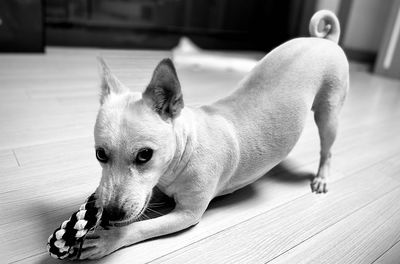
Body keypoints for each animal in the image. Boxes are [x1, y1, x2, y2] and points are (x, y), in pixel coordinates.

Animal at [79, 10, 348, 260]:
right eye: (100, 155)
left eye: (145, 155)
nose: (111, 213)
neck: (186, 149)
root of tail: (325, 41)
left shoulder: (187, 214)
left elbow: (141, 228)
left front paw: (111, 238)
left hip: (329, 115)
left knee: (327, 149)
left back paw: (322, 176)